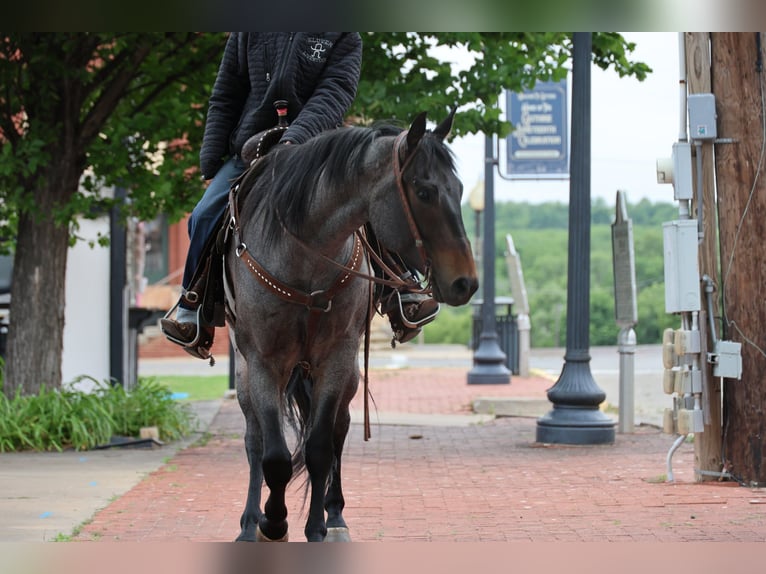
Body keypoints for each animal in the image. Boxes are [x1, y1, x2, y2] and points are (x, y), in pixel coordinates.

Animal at [224, 110, 478, 542]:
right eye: (424, 191)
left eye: (459, 189)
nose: (466, 282)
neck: (305, 257)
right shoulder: (262, 361)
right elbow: (274, 455)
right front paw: (272, 522)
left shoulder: (337, 358)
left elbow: (320, 448)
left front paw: (316, 527)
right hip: (247, 372)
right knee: (255, 439)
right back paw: (249, 523)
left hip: (347, 375)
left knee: (337, 431)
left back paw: (334, 515)